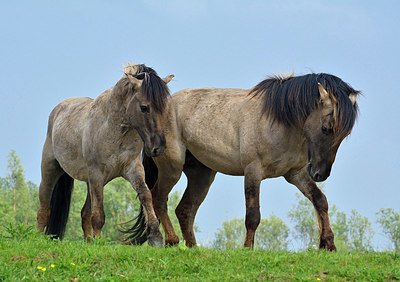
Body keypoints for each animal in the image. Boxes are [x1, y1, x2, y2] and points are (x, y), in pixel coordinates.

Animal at [37, 62, 173, 246]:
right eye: (144, 107)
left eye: (164, 108)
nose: (158, 147)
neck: (114, 129)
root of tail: (58, 109)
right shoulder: (97, 174)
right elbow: (99, 215)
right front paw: (99, 242)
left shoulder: (132, 169)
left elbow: (146, 195)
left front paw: (155, 236)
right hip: (51, 170)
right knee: (44, 209)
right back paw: (36, 237)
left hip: (89, 183)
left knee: (84, 213)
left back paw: (88, 241)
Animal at [126, 71, 360, 250]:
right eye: (326, 128)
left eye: (345, 134)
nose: (321, 173)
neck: (278, 120)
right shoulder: (253, 171)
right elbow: (253, 215)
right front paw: (247, 248)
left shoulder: (295, 173)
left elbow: (320, 200)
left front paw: (328, 244)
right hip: (172, 168)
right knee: (158, 198)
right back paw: (171, 240)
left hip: (202, 175)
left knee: (184, 210)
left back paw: (193, 248)